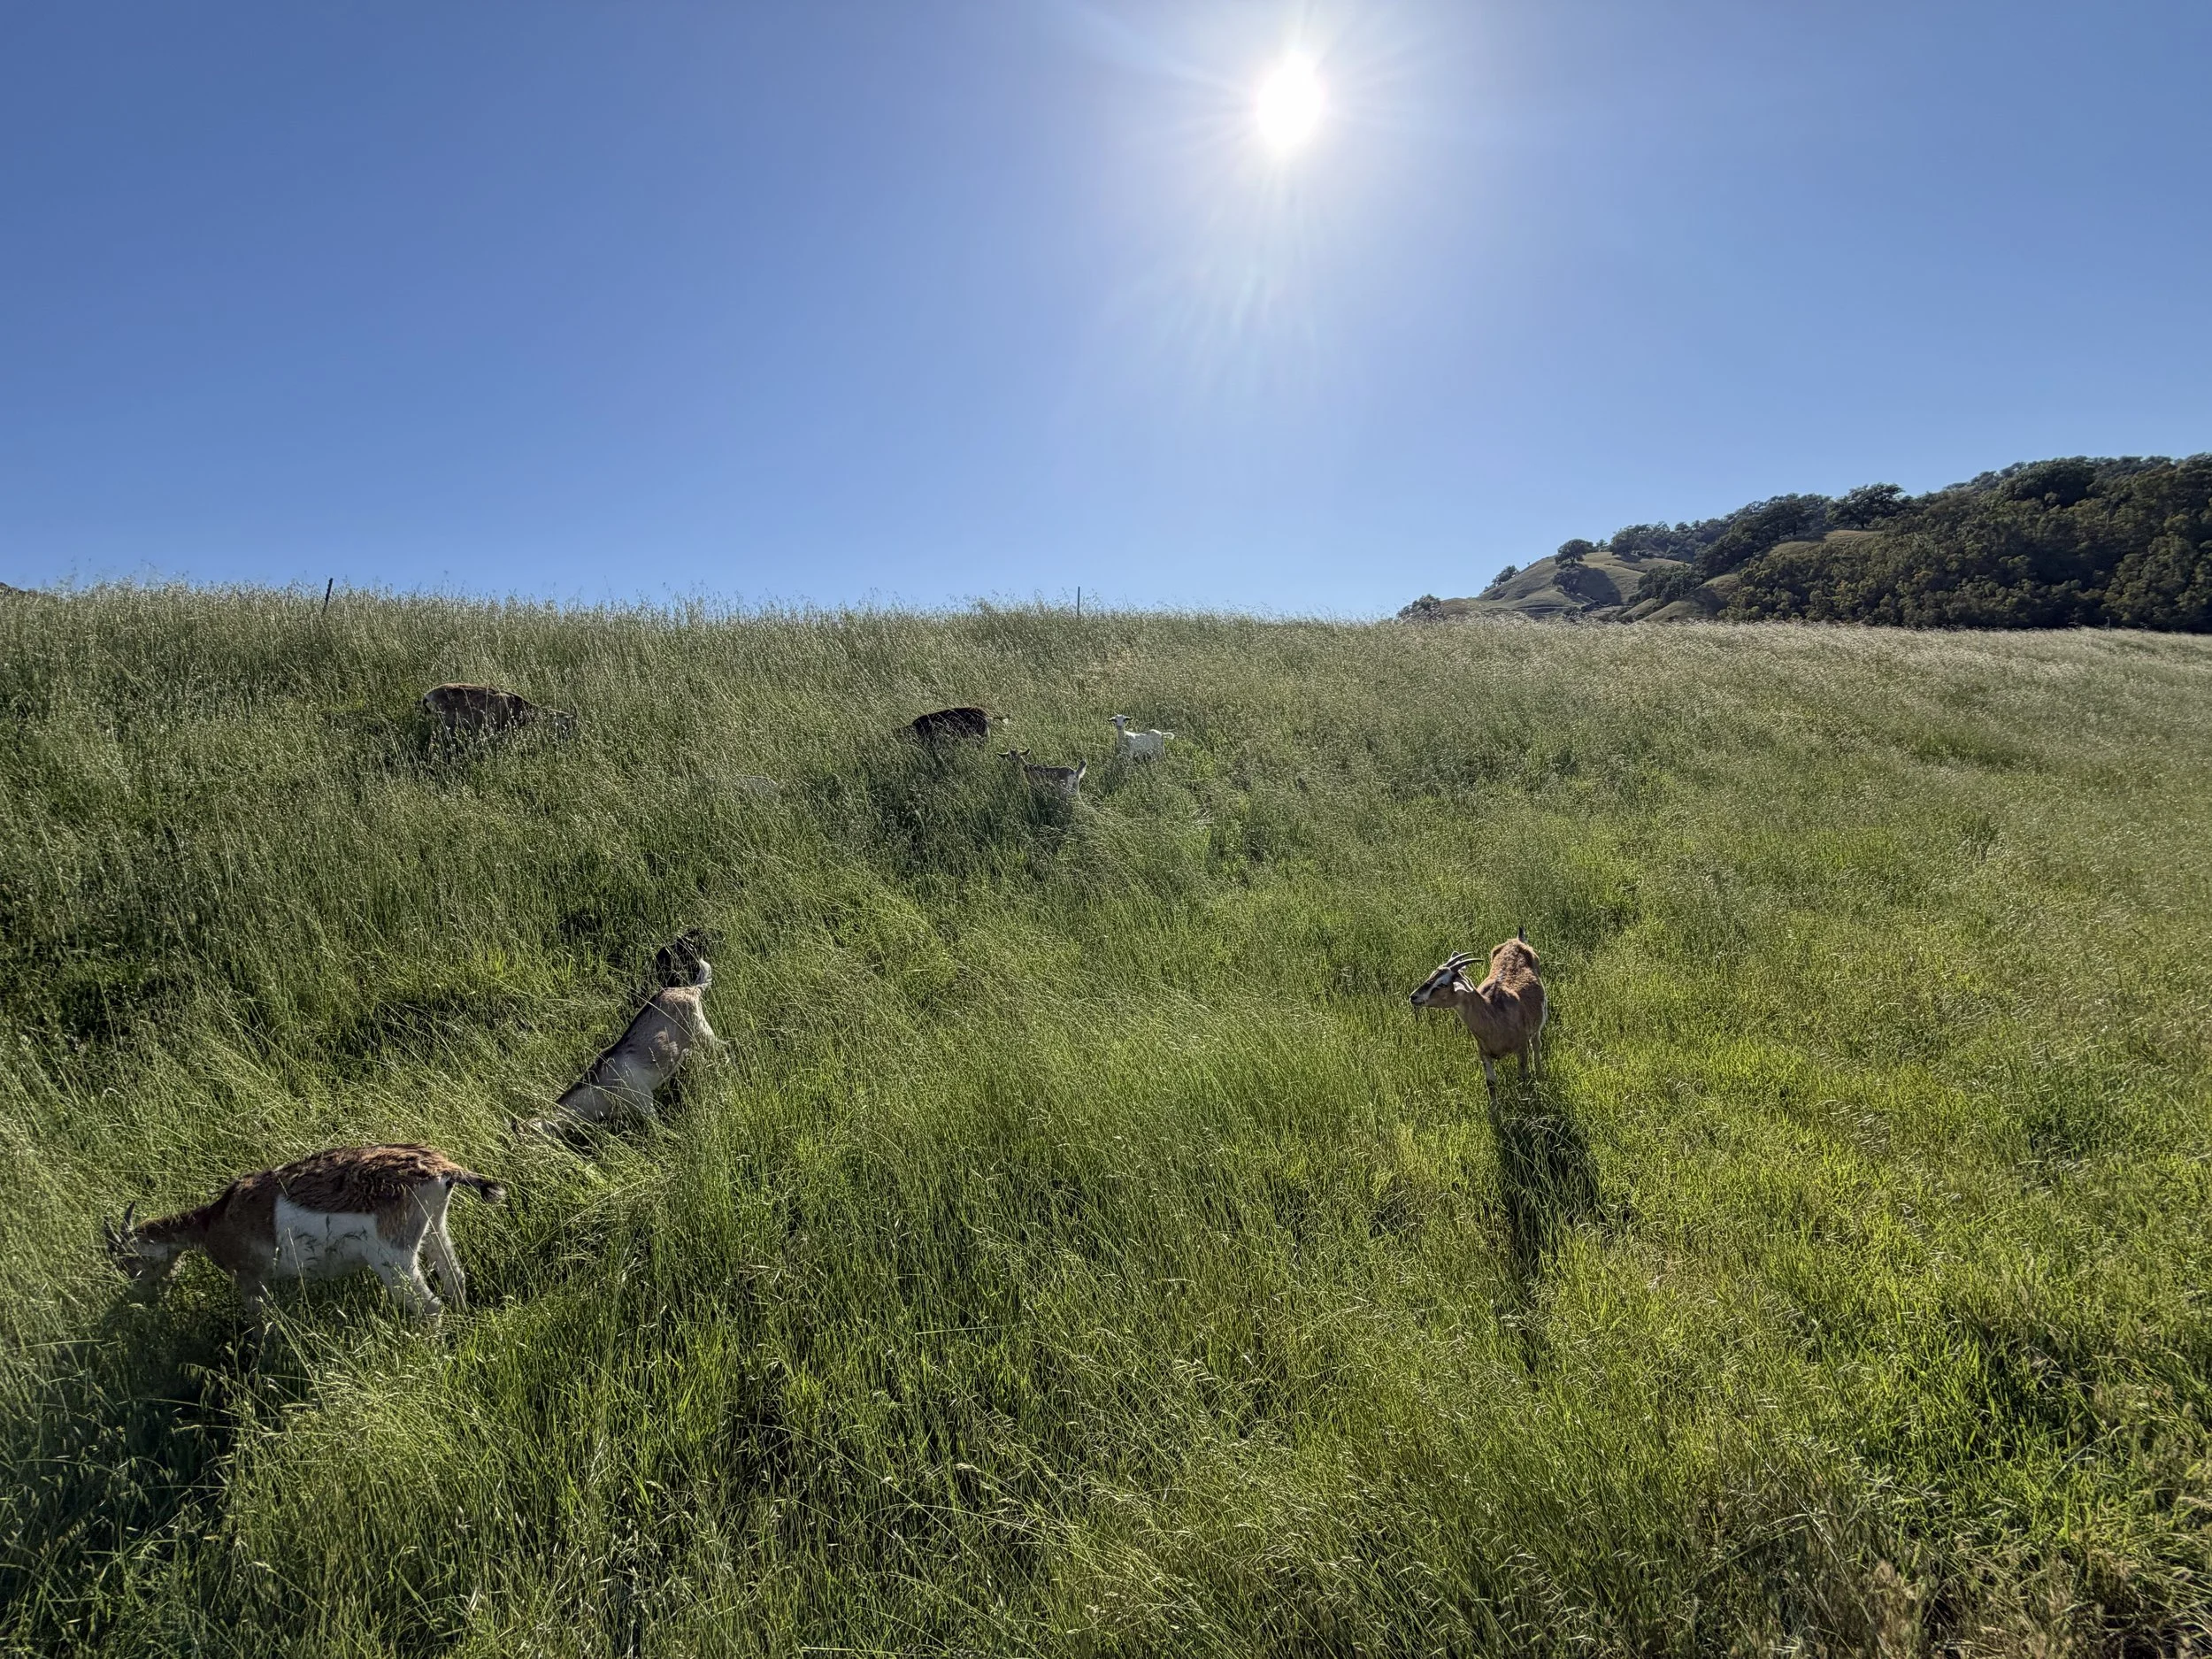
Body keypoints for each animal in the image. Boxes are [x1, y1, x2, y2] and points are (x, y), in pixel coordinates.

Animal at [102, 1145, 505, 1321]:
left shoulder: (250, 1281)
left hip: (394, 1260)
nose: (143, 1296)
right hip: (434, 1228)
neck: (214, 1220)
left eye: (128, 1263)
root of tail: (441, 1169)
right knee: (455, 1279)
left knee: (431, 1305)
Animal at [1409, 929, 1546, 1096]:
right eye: (1432, 975)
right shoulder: (1484, 1053)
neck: (1495, 1014)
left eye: (1442, 984)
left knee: (1536, 1045)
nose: (1414, 997)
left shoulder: (1521, 1048)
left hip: (1536, 1030)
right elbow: (1491, 1083)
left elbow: (1522, 1077)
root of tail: (1516, 941)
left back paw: (1540, 1075)